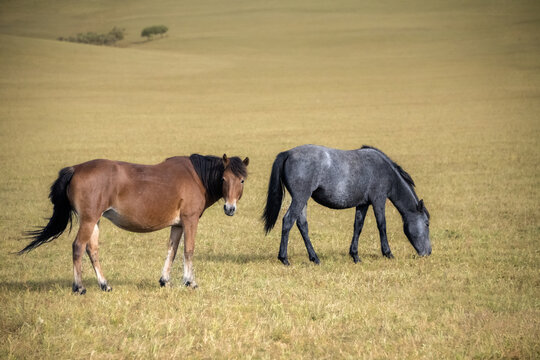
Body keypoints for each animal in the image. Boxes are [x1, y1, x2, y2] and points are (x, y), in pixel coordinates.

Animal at [19, 153, 250, 294]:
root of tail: (76, 169)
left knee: (92, 249)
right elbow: (188, 250)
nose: (230, 208)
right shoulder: (190, 220)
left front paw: (165, 280)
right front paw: (190, 281)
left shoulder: (177, 225)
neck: (196, 176)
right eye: (223, 179)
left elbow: (172, 250)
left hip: (95, 221)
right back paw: (80, 287)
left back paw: (104, 285)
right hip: (88, 220)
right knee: (78, 247)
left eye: (241, 180)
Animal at [262, 145, 430, 266]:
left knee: (302, 225)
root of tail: (288, 153)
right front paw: (388, 253)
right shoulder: (378, 200)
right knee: (288, 221)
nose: (428, 252)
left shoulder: (363, 204)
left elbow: (358, 226)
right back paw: (284, 259)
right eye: (427, 223)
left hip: (302, 200)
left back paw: (314, 258)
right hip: (300, 198)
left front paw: (355, 256)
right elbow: (382, 225)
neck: (385, 170)